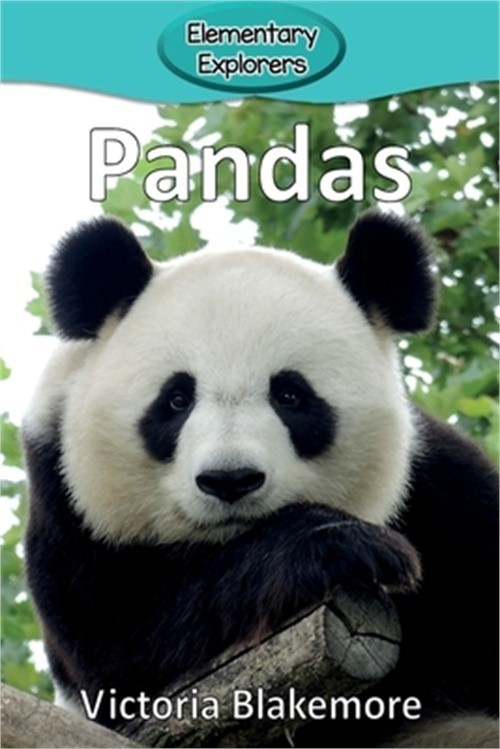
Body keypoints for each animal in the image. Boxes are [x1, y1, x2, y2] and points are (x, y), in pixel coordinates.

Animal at [22, 211, 498, 748]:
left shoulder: (447, 495)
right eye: (176, 400)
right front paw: (341, 546)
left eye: (290, 395)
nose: (230, 480)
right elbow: (129, 645)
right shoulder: (66, 505)